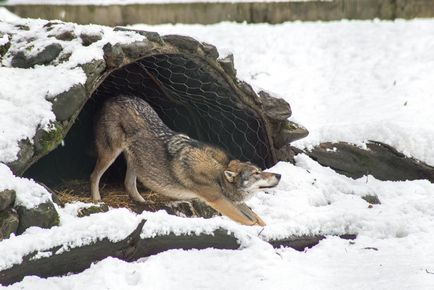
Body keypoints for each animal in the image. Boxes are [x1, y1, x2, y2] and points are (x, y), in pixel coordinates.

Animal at [91, 95, 282, 227]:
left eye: (260, 170)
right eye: (256, 173)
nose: (279, 175)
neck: (218, 173)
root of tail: (115, 97)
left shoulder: (234, 202)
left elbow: (258, 218)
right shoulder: (217, 200)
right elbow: (249, 221)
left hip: (137, 161)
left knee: (128, 183)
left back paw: (143, 202)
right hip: (111, 153)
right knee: (94, 176)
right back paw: (97, 200)